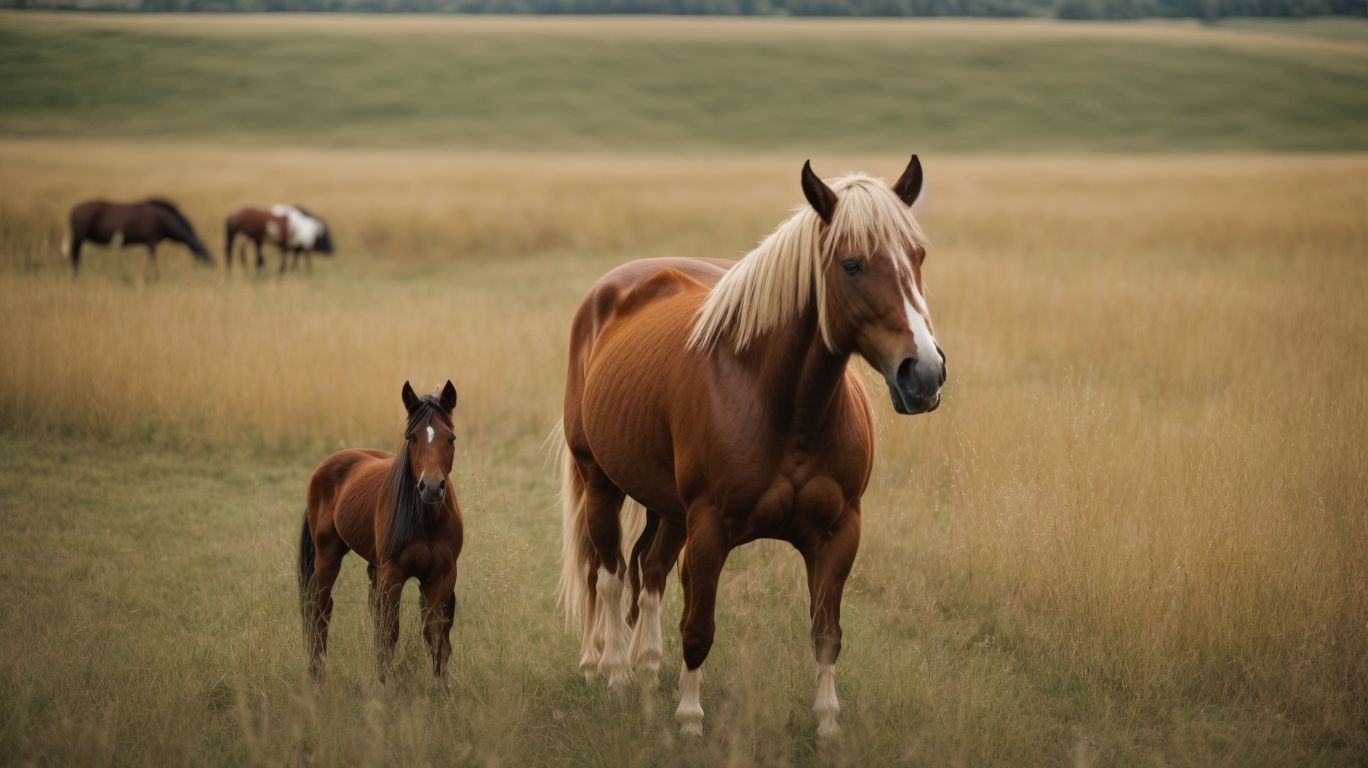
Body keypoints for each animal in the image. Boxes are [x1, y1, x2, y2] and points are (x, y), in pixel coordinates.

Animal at [63, 199, 212, 275]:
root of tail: (73, 209)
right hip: (79, 237)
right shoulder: (152, 241)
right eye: (206, 257)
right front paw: (154, 276)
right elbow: (153, 260)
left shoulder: (150, 243)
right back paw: (77, 274)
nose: (213, 268)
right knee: (75, 255)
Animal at [299, 381, 462, 684]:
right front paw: (388, 683)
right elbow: (391, 631)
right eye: (412, 438)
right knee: (321, 608)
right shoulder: (393, 573)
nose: (432, 488)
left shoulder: (442, 575)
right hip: (328, 555)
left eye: (450, 438)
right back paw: (318, 673)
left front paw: (441, 688)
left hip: (373, 566)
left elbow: (436, 634)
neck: (427, 521)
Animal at [554, 156, 946, 738]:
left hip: (668, 509)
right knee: (609, 576)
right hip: (600, 483)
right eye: (851, 265)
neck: (787, 413)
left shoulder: (839, 532)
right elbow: (698, 627)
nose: (924, 373)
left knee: (649, 572)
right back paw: (615, 673)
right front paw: (689, 719)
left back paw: (647, 668)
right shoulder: (710, 529)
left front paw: (828, 723)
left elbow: (826, 634)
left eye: (917, 256)